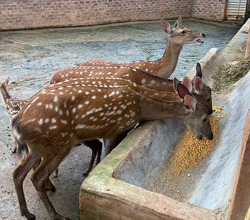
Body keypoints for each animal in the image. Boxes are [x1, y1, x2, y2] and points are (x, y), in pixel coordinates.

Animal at [10, 76, 212, 220]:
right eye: (205, 118)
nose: (210, 136)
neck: (140, 107)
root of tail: (17, 123)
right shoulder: (115, 129)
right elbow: (107, 154)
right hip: (58, 144)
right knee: (36, 177)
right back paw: (57, 215)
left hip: (38, 148)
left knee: (18, 173)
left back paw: (27, 213)